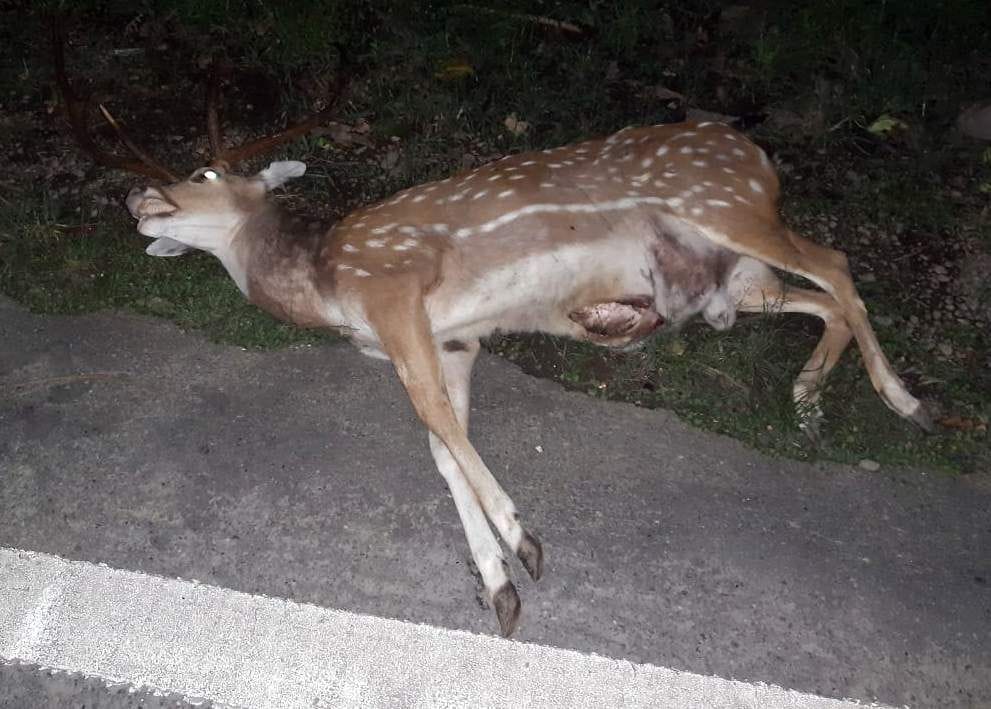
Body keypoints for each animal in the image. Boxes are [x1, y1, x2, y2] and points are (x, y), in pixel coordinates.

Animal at [55, 32, 933, 638]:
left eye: (202, 174)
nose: (136, 197)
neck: (329, 282)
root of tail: (754, 149)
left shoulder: (397, 290)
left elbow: (438, 430)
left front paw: (525, 544)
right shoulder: (451, 340)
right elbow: (444, 446)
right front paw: (500, 585)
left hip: (727, 206)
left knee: (838, 264)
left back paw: (904, 401)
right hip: (731, 282)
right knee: (817, 298)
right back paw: (808, 394)